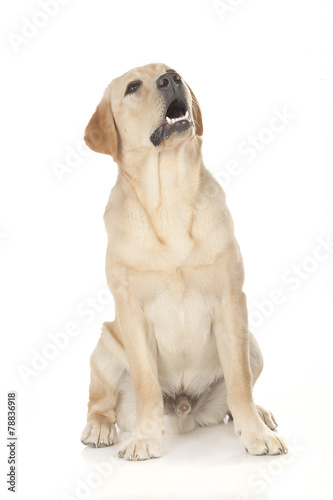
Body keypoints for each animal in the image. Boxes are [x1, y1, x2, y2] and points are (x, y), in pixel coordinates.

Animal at [79, 63, 286, 460]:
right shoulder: (131, 311)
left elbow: (240, 383)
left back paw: (260, 415)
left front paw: (256, 434)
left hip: (251, 342)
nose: (171, 79)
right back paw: (99, 428)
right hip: (104, 349)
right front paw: (145, 439)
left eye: (169, 71)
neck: (169, 197)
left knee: (239, 394)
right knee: (99, 403)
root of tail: (186, 409)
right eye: (132, 87)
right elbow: (145, 383)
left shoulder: (230, 301)